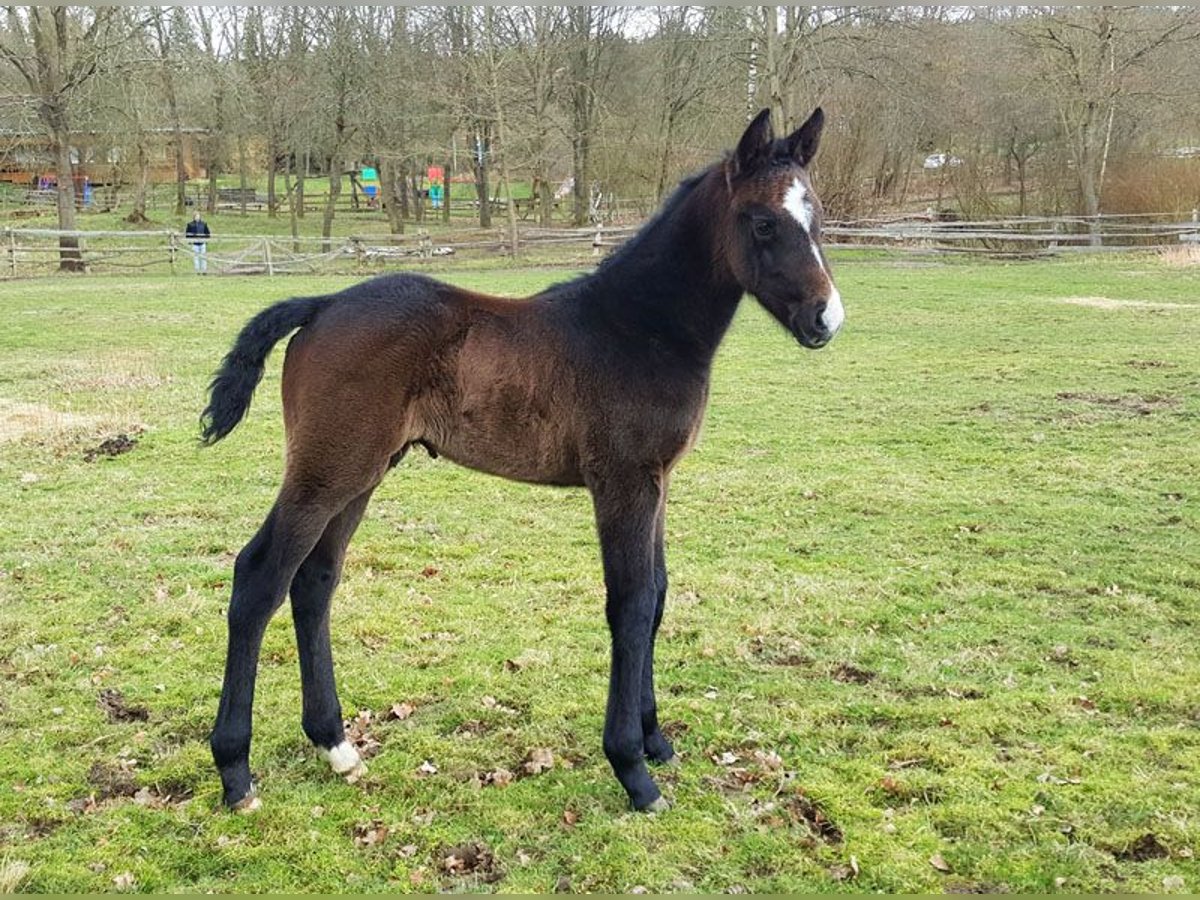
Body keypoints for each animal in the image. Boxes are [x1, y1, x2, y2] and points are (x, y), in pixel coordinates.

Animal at [201, 109, 844, 816]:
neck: (638, 327)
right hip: (326, 470)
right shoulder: (621, 482)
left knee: (314, 582)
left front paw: (656, 741)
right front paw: (633, 769)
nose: (826, 318)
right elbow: (631, 604)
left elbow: (658, 595)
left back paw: (336, 744)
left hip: (363, 472)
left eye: (816, 215)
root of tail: (321, 305)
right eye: (763, 223)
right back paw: (236, 772)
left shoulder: (658, 481)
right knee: (259, 577)